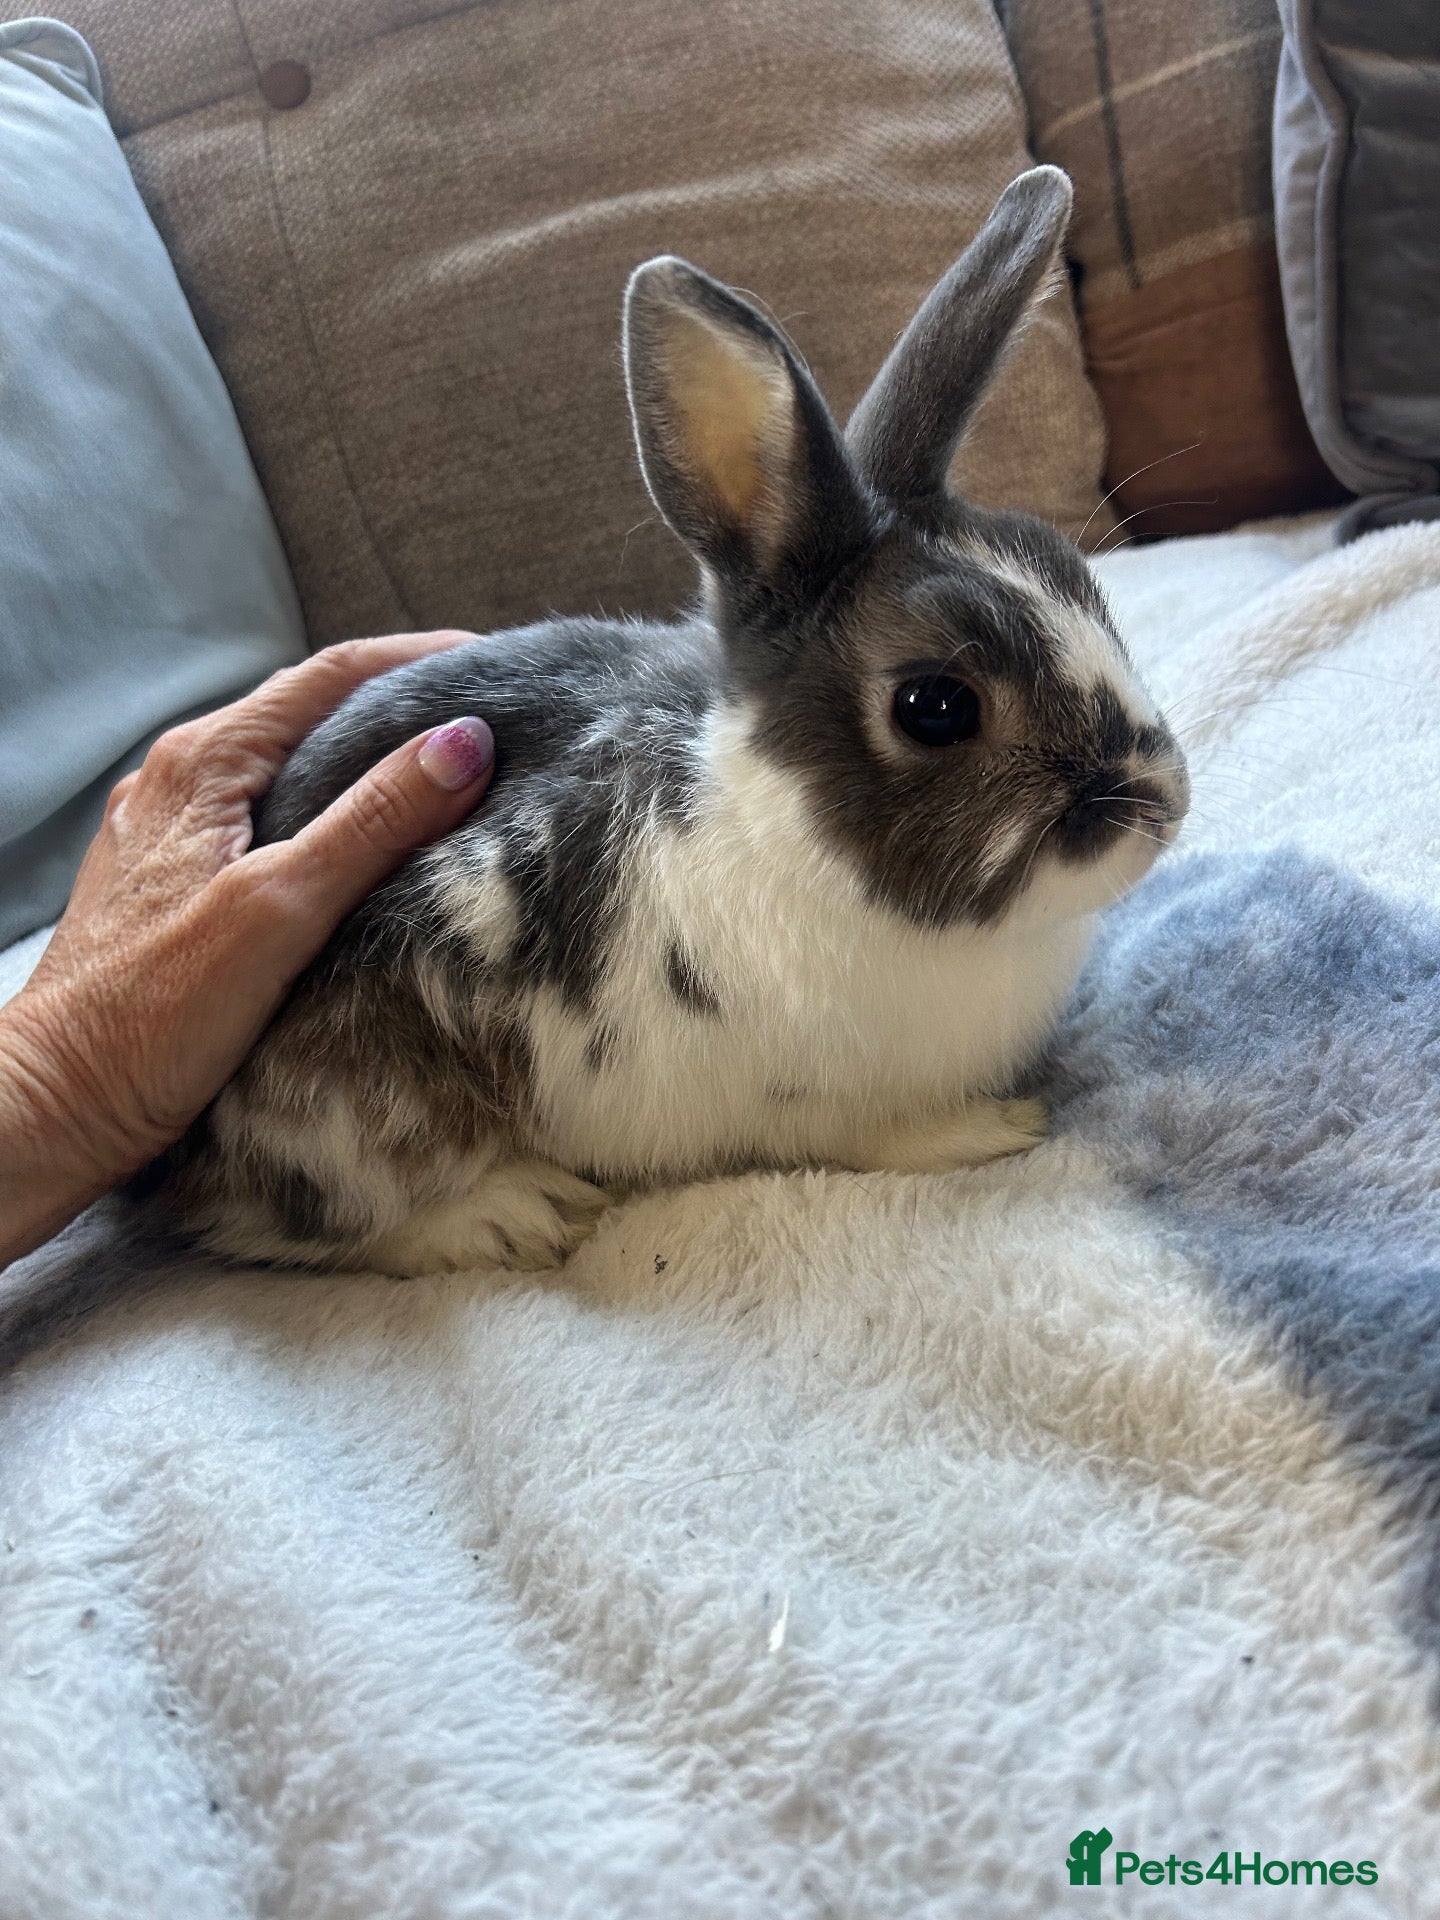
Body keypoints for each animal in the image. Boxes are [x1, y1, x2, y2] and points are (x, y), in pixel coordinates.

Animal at [148, 165, 1189, 1275]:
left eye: (1074, 575)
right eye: (936, 708)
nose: (1163, 801)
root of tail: (177, 1162)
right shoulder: (814, 1100)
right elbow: (881, 1136)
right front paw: (994, 1127)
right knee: (312, 1225)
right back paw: (515, 1212)